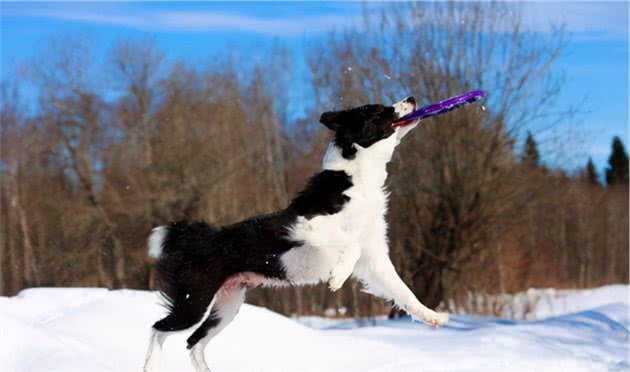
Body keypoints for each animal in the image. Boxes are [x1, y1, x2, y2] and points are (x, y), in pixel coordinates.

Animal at [143, 96, 450, 372]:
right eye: (376, 111)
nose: (411, 97)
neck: (357, 178)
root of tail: (202, 240)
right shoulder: (305, 227)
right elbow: (349, 245)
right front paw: (337, 278)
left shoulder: (375, 257)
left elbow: (403, 290)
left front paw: (432, 316)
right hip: (194, 300)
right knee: (159, 328)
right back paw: (151, 366)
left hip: (227, 305)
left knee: (194, 342)